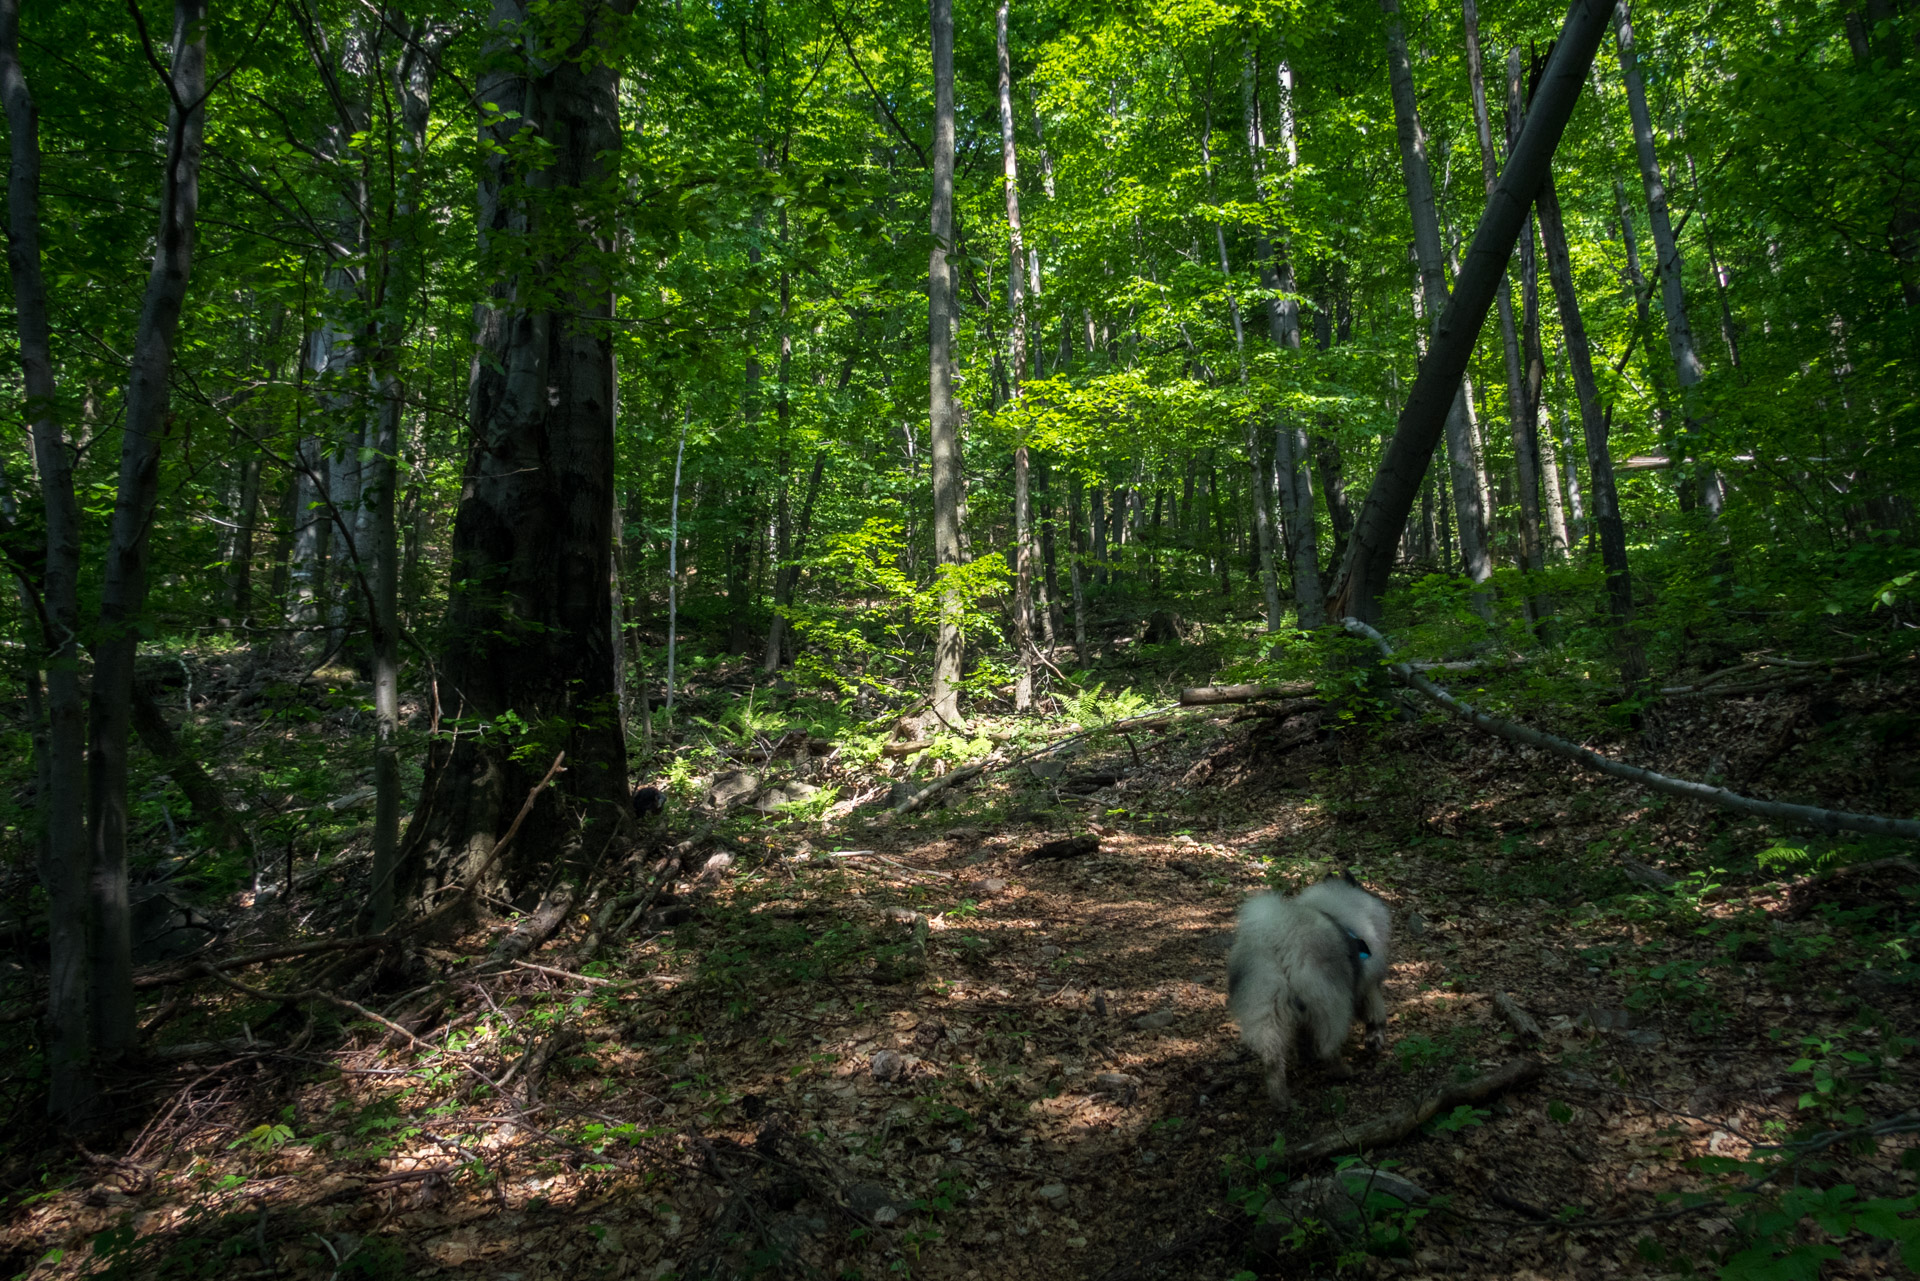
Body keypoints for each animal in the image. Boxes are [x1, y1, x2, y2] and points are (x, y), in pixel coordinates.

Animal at [1228, 875, 1397, 1106]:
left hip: (1267, 1006)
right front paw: (1375, 1038)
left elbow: (1302, 1037)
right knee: (1328, 1046)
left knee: (1272, 1058)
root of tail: (1280, 943)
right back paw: (1342, 1071)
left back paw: (1281, 1100)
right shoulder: (1367, 986)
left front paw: (1305, 1057)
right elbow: (1375, 1014)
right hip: (1331, 1003)